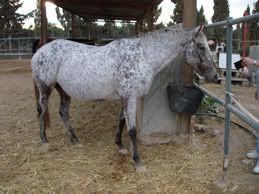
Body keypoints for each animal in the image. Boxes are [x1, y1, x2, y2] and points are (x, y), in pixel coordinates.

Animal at [31, 24, 218, 171]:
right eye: (201, 46)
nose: (215, 76)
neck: (143, 56)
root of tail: (40, 51)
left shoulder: (124, 98)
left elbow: (121, 121)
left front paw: (120, 146)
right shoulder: (130, 97)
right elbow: (132, 130)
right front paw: (138, 161)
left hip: (64, 91)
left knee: (63, 113)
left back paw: (75, 140)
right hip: (45, 89)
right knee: (41, 111)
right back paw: (44, 141)